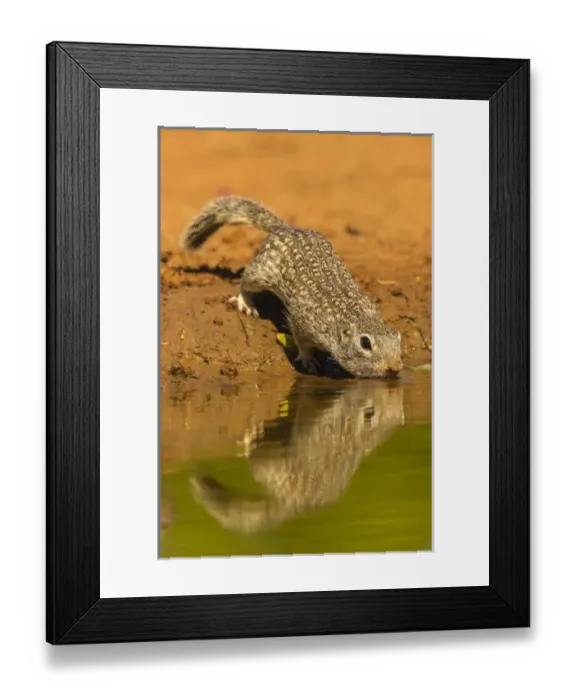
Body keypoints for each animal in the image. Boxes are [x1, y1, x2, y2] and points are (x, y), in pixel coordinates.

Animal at [181, 196, 403, 379]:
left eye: (398, 338)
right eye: (365, 343)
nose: (395, 367)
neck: (349, 314)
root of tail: (286, 228)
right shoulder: (302, 321)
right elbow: (300, 339)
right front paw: (307, 358)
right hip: (261, 273)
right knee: (245, 280)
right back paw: (246, 302)